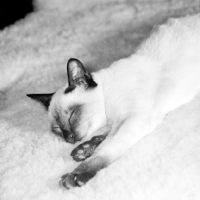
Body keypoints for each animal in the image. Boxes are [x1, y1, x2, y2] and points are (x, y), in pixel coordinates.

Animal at [27, 14, 200, 189]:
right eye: (57, 129)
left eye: (72, 115)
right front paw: (84, 150)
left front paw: (77, 173)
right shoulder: (120, 122)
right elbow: (103, 137)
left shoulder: (135, 119)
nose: (68, 138)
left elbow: (105, 149)